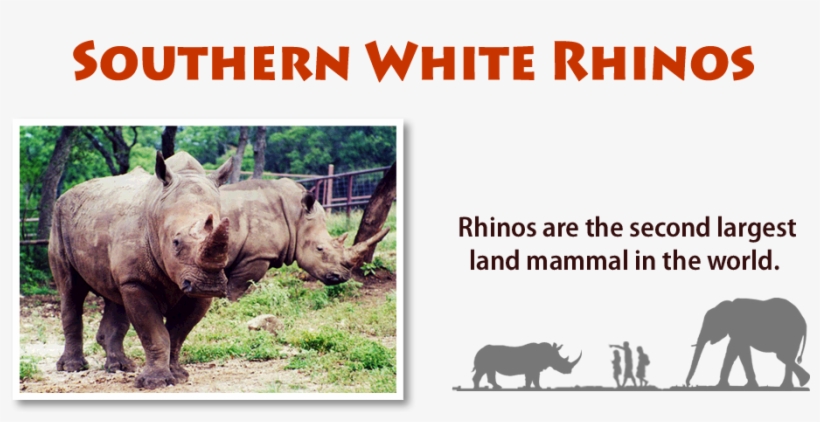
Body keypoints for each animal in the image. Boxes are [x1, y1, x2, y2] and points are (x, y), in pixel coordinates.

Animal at [48, 152, 234, 389]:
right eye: (176, 242)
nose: (209, 285)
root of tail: (66, 194)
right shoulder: (136, 282)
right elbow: (154, 333)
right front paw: (155, 383)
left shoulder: (194, 290)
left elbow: (176, 333)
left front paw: (178, 376)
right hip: (59, 219)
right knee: (71, 290)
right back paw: (72, 367)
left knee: (114, 296)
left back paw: (120, 367)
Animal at [219, 178, 390, 300]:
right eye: (319, 249)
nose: (342, 277)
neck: (296, 217)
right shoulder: (256, 256)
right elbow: (234, 289)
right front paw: (226, 307)